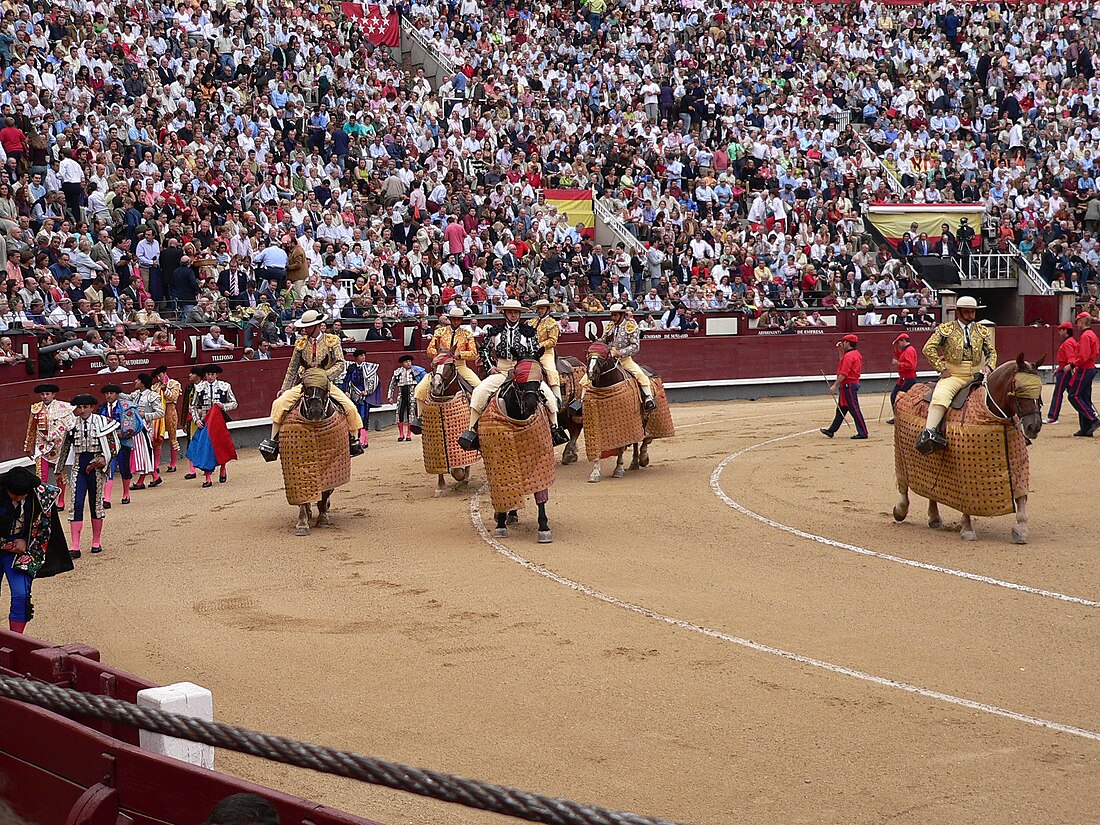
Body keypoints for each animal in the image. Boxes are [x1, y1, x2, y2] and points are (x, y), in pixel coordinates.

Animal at [279, 380, 352, 536]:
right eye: (305, 386)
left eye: (326, 386)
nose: (316, 412)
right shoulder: (298, 464)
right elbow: (302, 491)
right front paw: (302, 524)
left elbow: (325, 492)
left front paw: (323, 518)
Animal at [418, 352, 479, 495]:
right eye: (433, 365)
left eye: (450, 365)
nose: (436, 385)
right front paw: (441, 486)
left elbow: (459, 466)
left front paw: (461, 477)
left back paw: (465, 479)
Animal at [479, 360, 558, 543]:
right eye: (518, 379)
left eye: (540, 379)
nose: (531, 405)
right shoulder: (496, 459)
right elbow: (501, 487)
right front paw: (500, 523)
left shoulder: (540, 459)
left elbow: (541, 494)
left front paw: (544, 528)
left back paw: (513, 514)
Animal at [580, 343, 673, 484]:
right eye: (588, 355)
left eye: (605, 355)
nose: (591, 372)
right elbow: (597, 447)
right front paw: (595, 473)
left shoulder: (624, 424)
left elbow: (621, 447)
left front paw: (618, 469)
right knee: (637, 440)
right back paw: (634, 462)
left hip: (646, 416)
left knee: (645, 438)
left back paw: (643, 459)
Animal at [888, 354, 1042, 543]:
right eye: (1020, 389)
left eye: (1039, 390)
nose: (1034, 426)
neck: (991, 411)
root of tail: (910, 390)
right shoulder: (964, 469)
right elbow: (966, 498)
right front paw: (967, 529)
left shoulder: (1017, 463)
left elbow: (1021, 497)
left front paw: (1021, 529)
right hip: (901, 452)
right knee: (903, 482)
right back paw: (900, 510)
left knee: (931, 487)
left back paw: (935, 518)